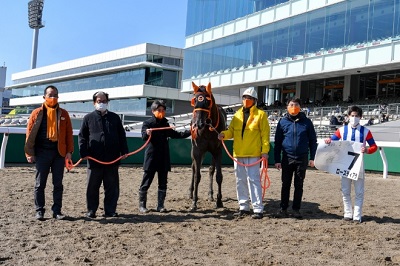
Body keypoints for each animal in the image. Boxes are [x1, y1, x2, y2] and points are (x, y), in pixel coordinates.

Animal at [189, 82, 227, 211]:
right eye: (194, 100)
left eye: (207, 101)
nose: (198, 124)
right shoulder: (197, 151)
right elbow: (197, 176)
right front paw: (194, 203)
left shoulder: (217, 151)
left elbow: (218, 176)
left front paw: (219, 201)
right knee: (194, 168)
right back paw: (191, 193)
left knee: (211, 170)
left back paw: (210, 195)